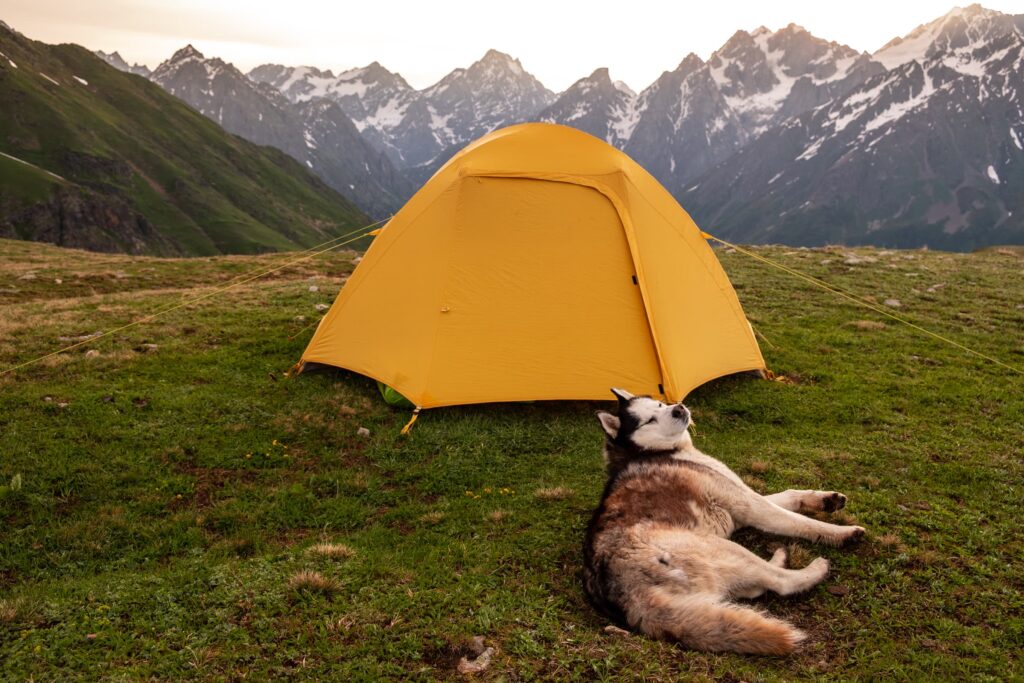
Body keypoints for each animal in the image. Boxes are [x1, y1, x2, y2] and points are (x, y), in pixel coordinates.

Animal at [585, 387, 864, 655]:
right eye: (649, 420)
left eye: (660, 404)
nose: (678, 408)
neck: (659, 452)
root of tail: (627, 593)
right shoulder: (748, 504)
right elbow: (800, 522)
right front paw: (842, 532)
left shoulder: (741, 504)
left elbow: (790, 495)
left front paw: (826, 500)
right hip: (722, 547)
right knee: (780, 582)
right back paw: (814, 568)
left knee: (755, 587)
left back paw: (780, 558)